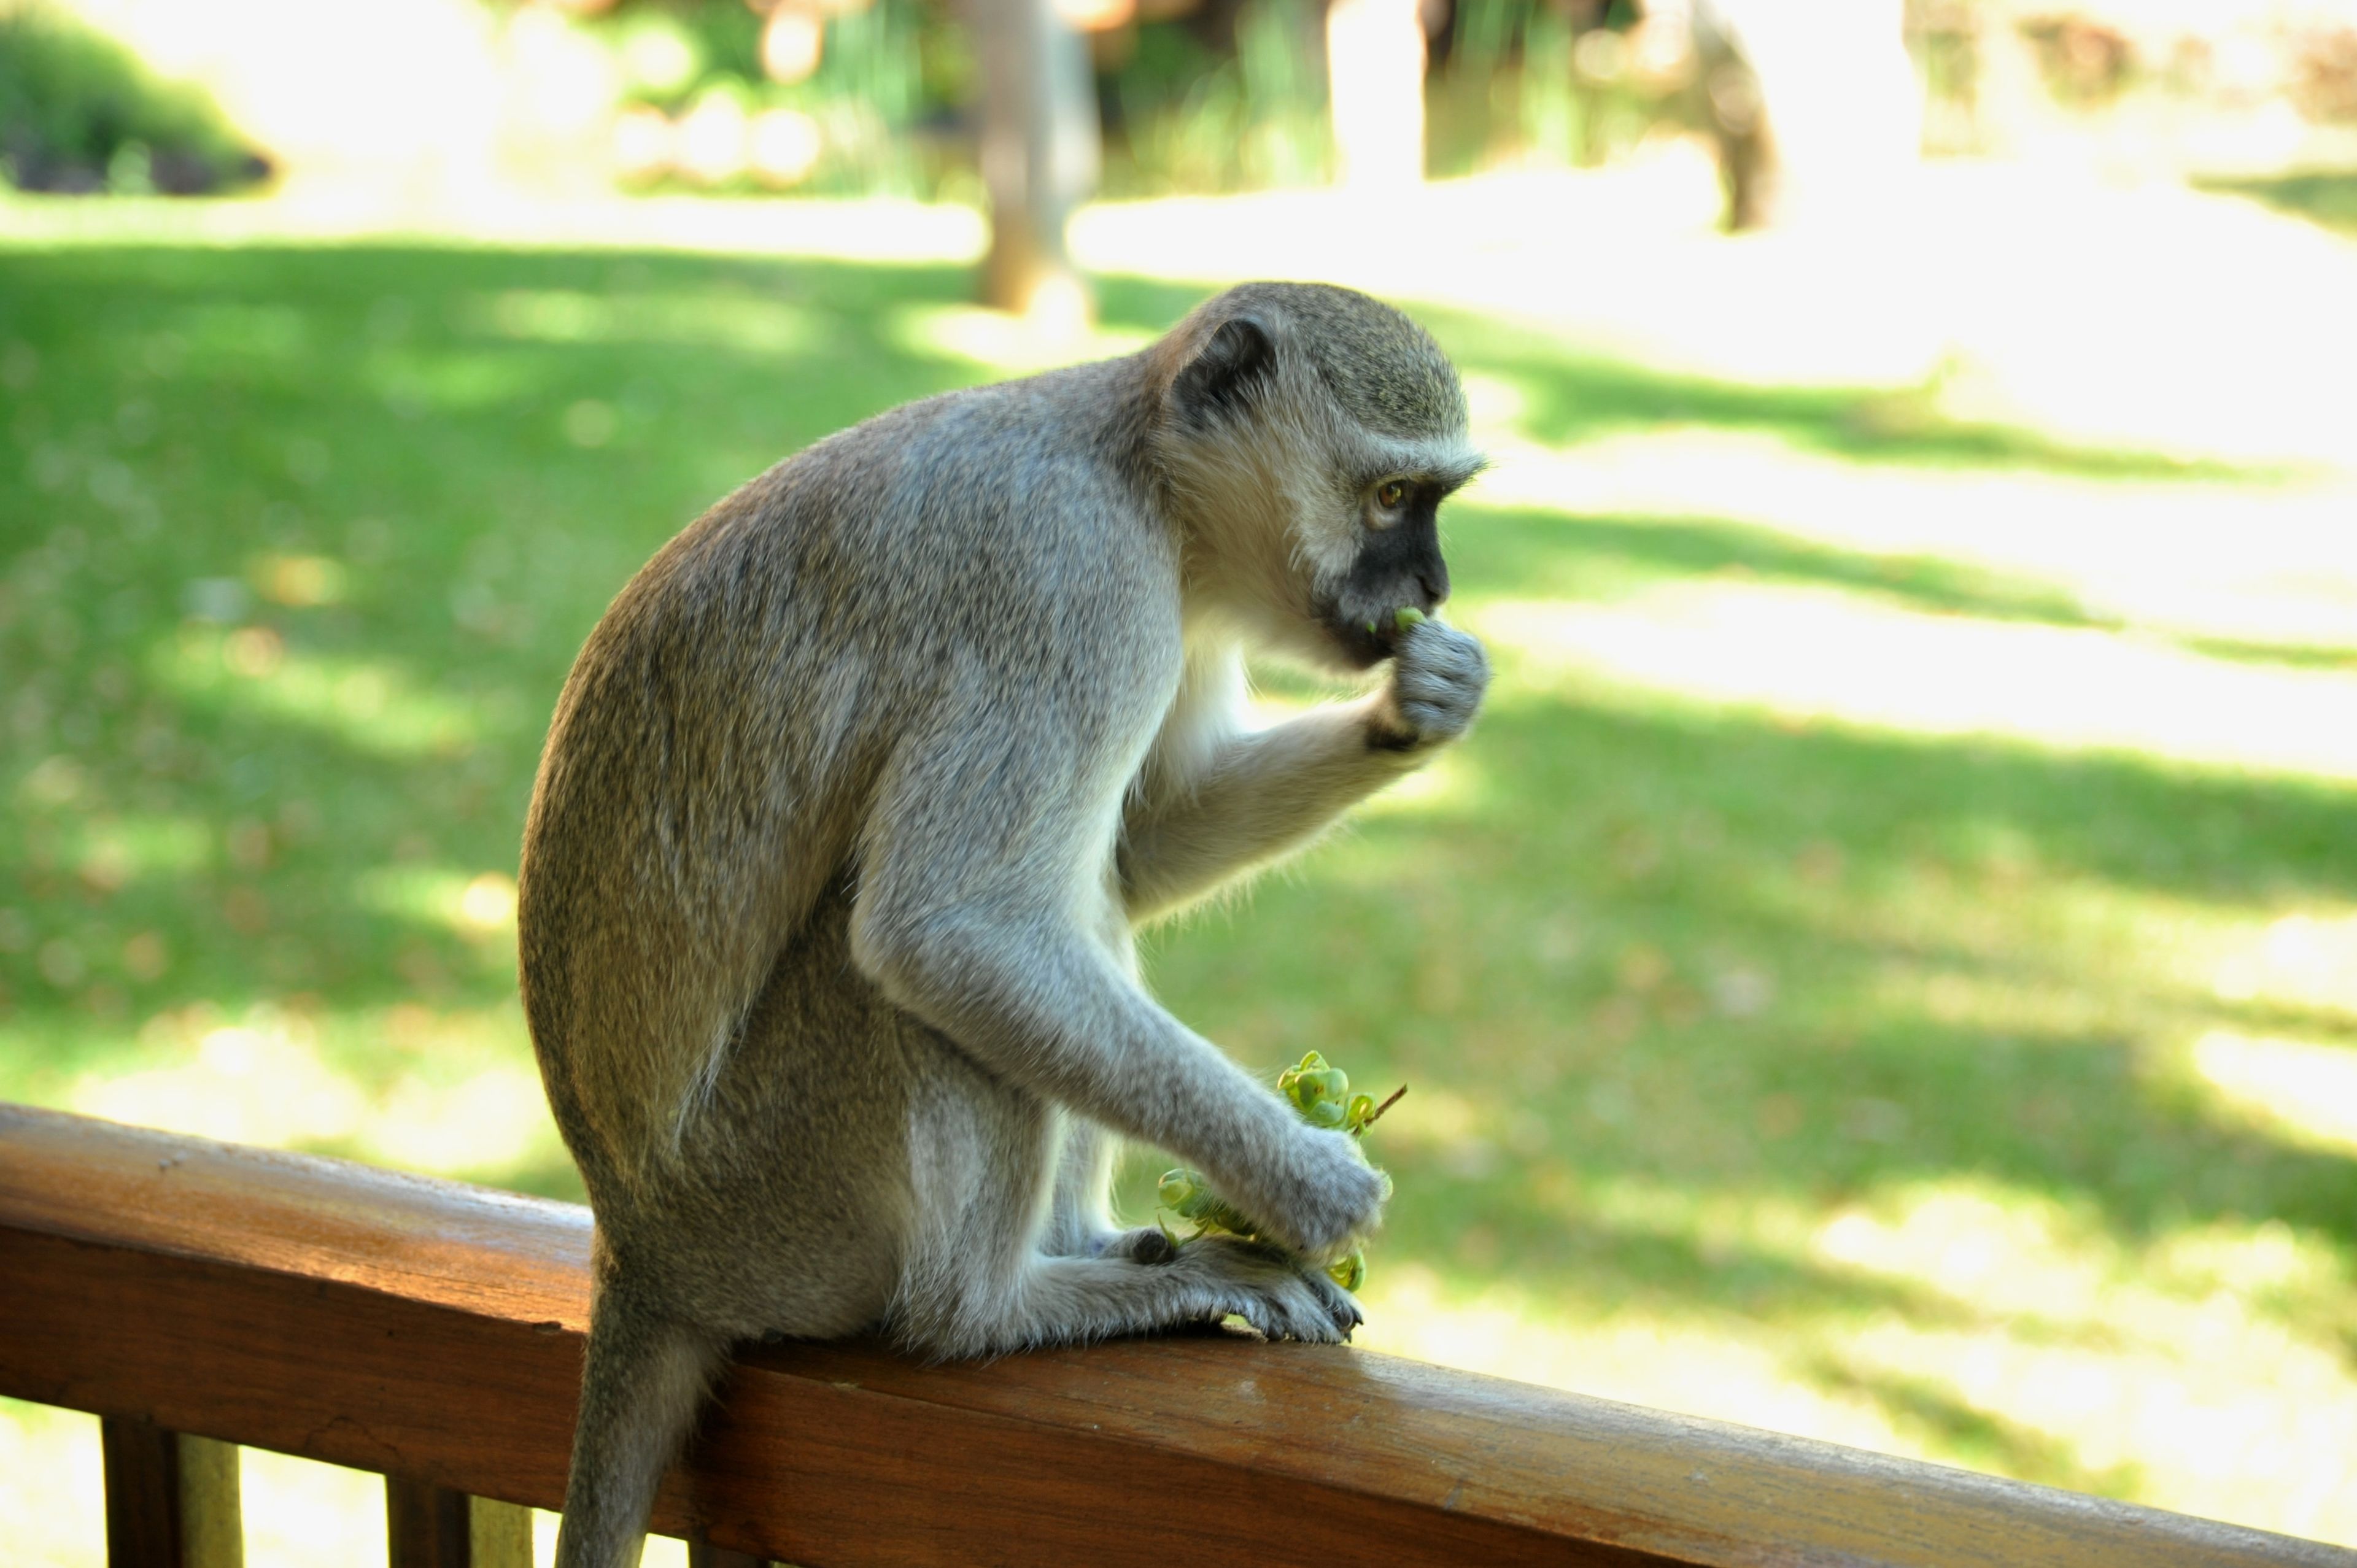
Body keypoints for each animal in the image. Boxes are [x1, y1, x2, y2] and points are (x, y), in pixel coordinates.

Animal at [517, 280, 1490, 1568]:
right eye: (1389, 499)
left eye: (1430, 503)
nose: (1431, 588)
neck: (1145, 475)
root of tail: (638, 1247)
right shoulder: (1076, 588)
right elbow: (950, 928)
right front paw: (1310, 1186)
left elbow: (1139, 845)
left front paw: (1423, 704)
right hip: (774, 1200)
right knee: (907, 976)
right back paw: (997, 1308)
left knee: (1082, 903)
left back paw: (1080, 1244)